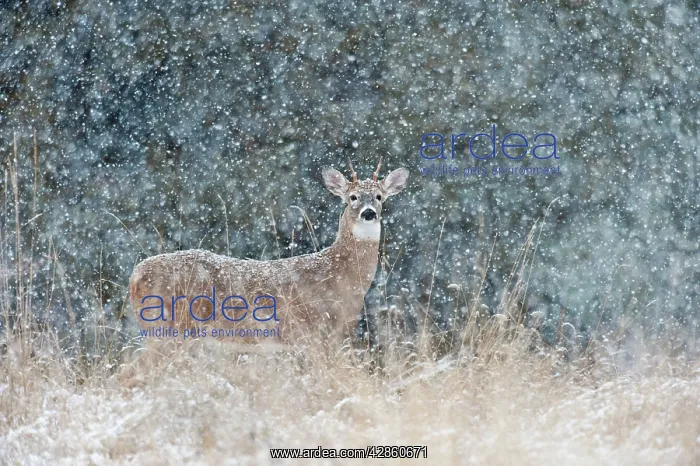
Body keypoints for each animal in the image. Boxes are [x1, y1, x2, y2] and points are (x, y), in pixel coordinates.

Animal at [126, 159, 409, 359]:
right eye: (352, 197)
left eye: (380, 197)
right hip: (169, 330)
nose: (369, 213)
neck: (340, 273)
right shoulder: (317, 333)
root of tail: (135, 275)